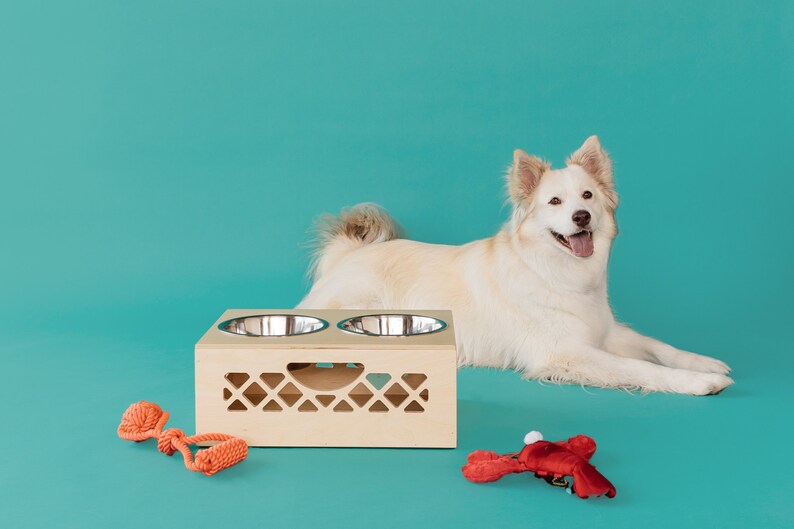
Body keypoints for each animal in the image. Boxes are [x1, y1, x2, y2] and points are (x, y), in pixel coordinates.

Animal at [296, 138, 732, 394]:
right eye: (555, 201)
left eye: (587, 196)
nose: (581, 217)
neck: (556, 273)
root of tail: (348, 253)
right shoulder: (567, 352)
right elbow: (641, 368)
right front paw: (699, 382)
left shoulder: (606, 333)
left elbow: (659, 347)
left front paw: (705, 363)